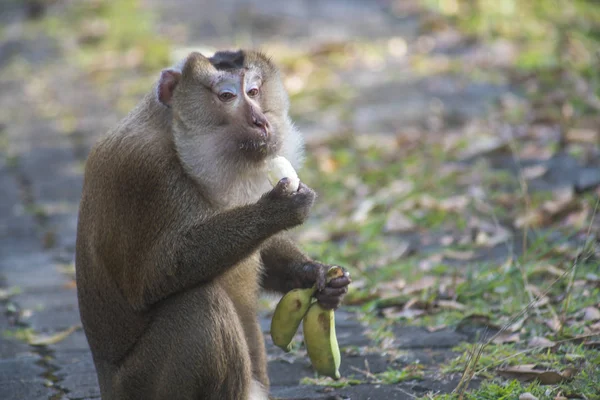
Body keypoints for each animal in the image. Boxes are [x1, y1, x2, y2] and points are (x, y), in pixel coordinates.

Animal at [76, 50, 352, 400]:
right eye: (226, 96)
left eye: (254, 91)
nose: (260, 121)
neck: (173, 136)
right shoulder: (146, 175)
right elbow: (153, 276)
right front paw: (277, 211)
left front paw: (317, 275)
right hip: (139, 385)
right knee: (199, 305)